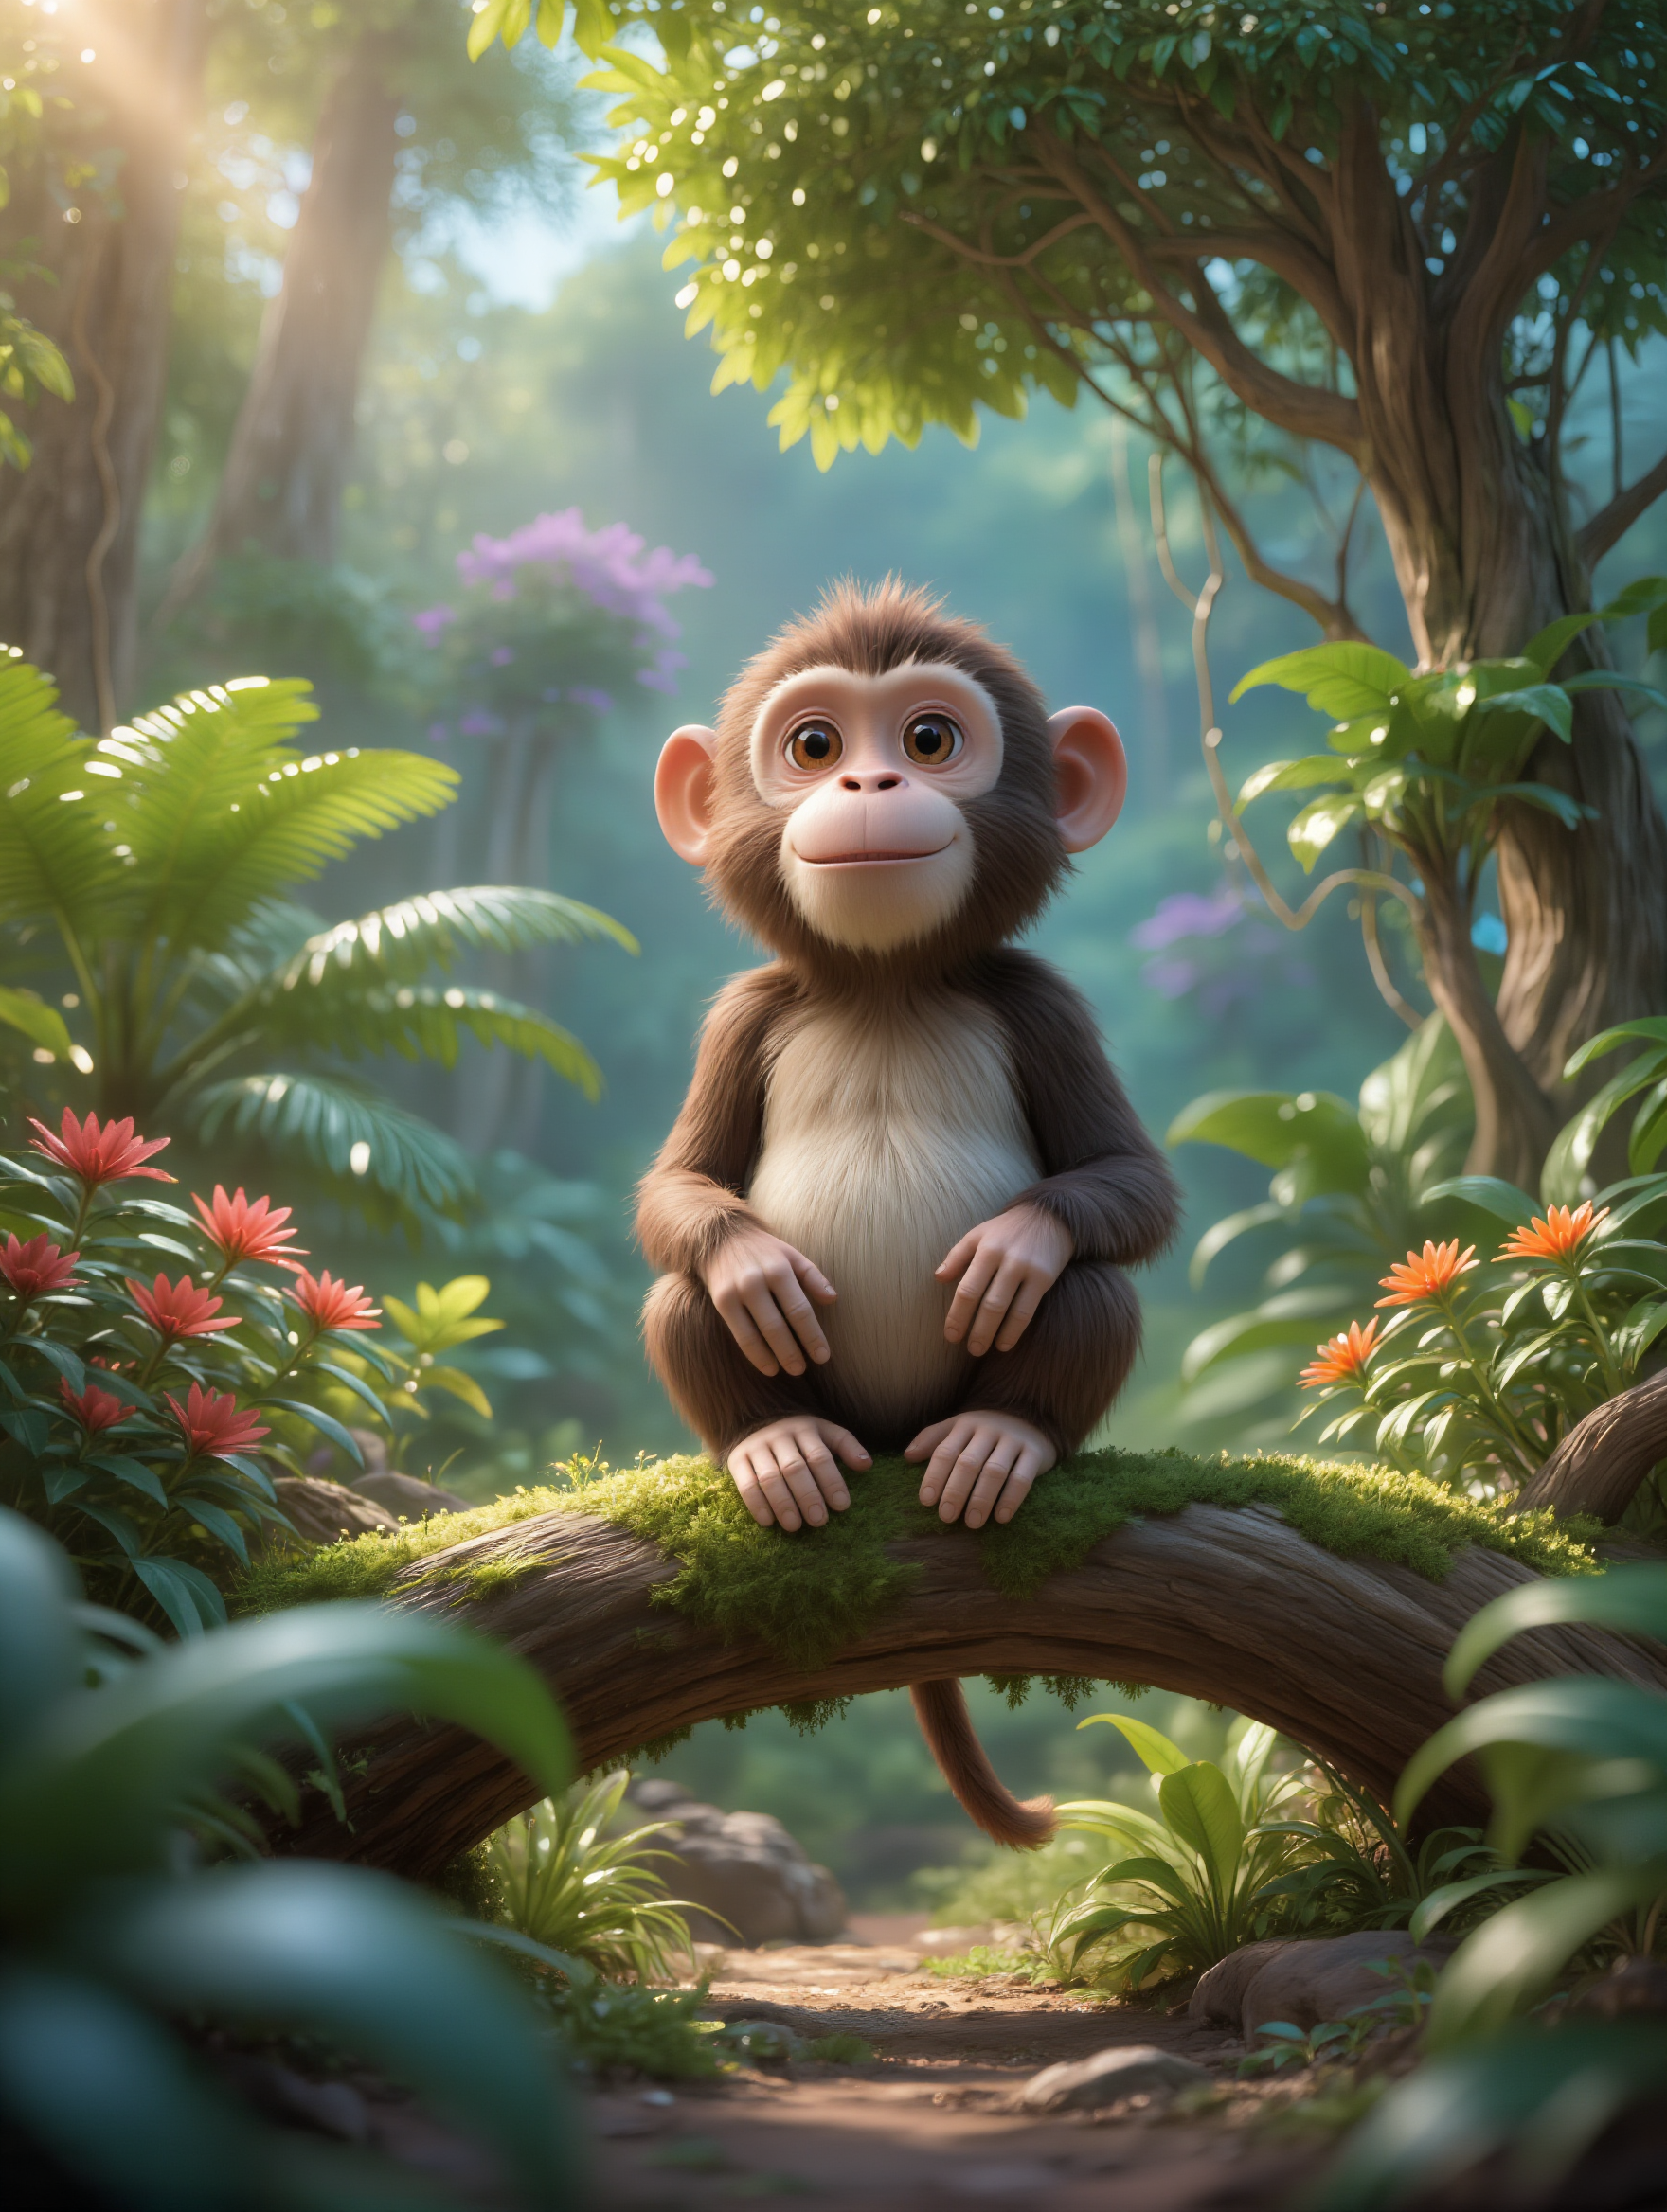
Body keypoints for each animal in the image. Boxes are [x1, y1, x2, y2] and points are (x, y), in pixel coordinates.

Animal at [635, 580, 1179, 1849]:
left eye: (929, 737)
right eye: (812, 744)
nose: (870, 783)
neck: (882, 989)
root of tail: (886, 1434)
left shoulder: (1040, 999)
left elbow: (1130, 1181)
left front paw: (1013, 1245)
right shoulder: (743, 1012)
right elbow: (677, 1189)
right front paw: (751, 1269)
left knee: (1095, 1285)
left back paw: (1000, 1433)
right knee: (677, 1295)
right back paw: (774, 1441)